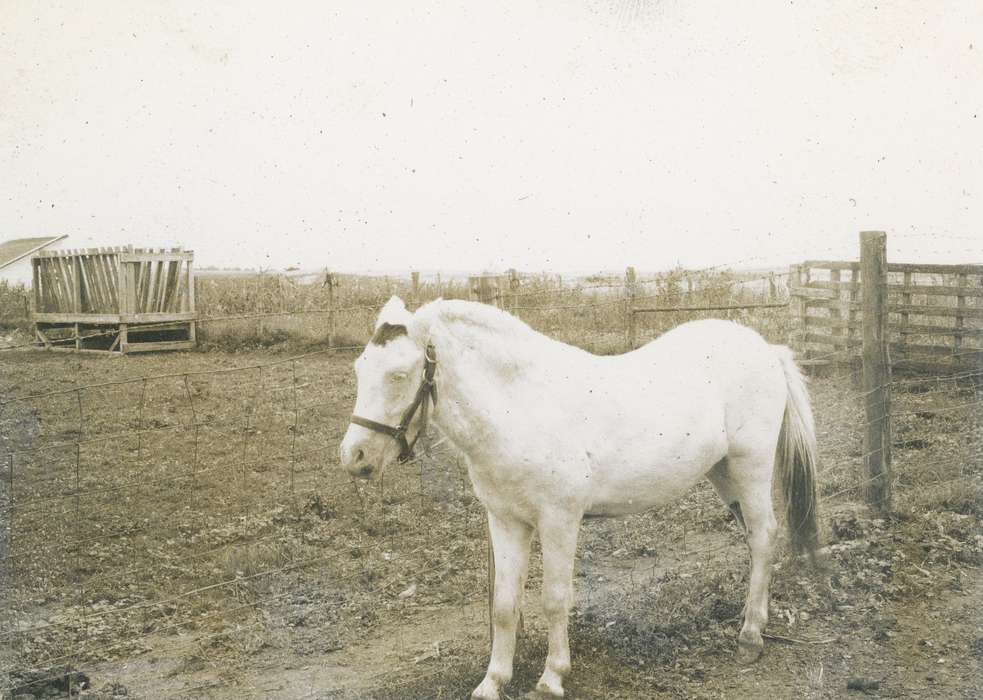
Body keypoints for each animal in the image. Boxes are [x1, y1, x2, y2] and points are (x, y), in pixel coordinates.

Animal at [340, 296, 819, 699]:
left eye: (399, 375)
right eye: (360, 368)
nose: (354, 456)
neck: (521, 406)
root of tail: (766, 348)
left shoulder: (559, 520)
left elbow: (554, 599)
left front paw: (552, 678)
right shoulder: (506, 520)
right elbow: (504, 606)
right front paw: (493, 682)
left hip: (750, 466)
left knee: (764, 536)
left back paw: (750, 636)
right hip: (722, 472)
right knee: (754, 539)